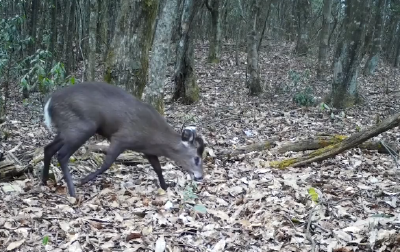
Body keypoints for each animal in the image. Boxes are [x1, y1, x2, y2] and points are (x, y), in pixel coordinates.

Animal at [43, 81, 206, 198]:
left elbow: (158, 168)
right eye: (197, 158)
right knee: (62, 155)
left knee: (48, 148)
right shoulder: (121, 138)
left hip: (68, 130)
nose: (200, 177)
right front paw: (84, 180)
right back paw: (72, 192)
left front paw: (165, 187)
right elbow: (107, 164)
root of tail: (49, 104)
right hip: (82, 127)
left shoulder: (148, 151)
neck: (155, 138)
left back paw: (44, 181)